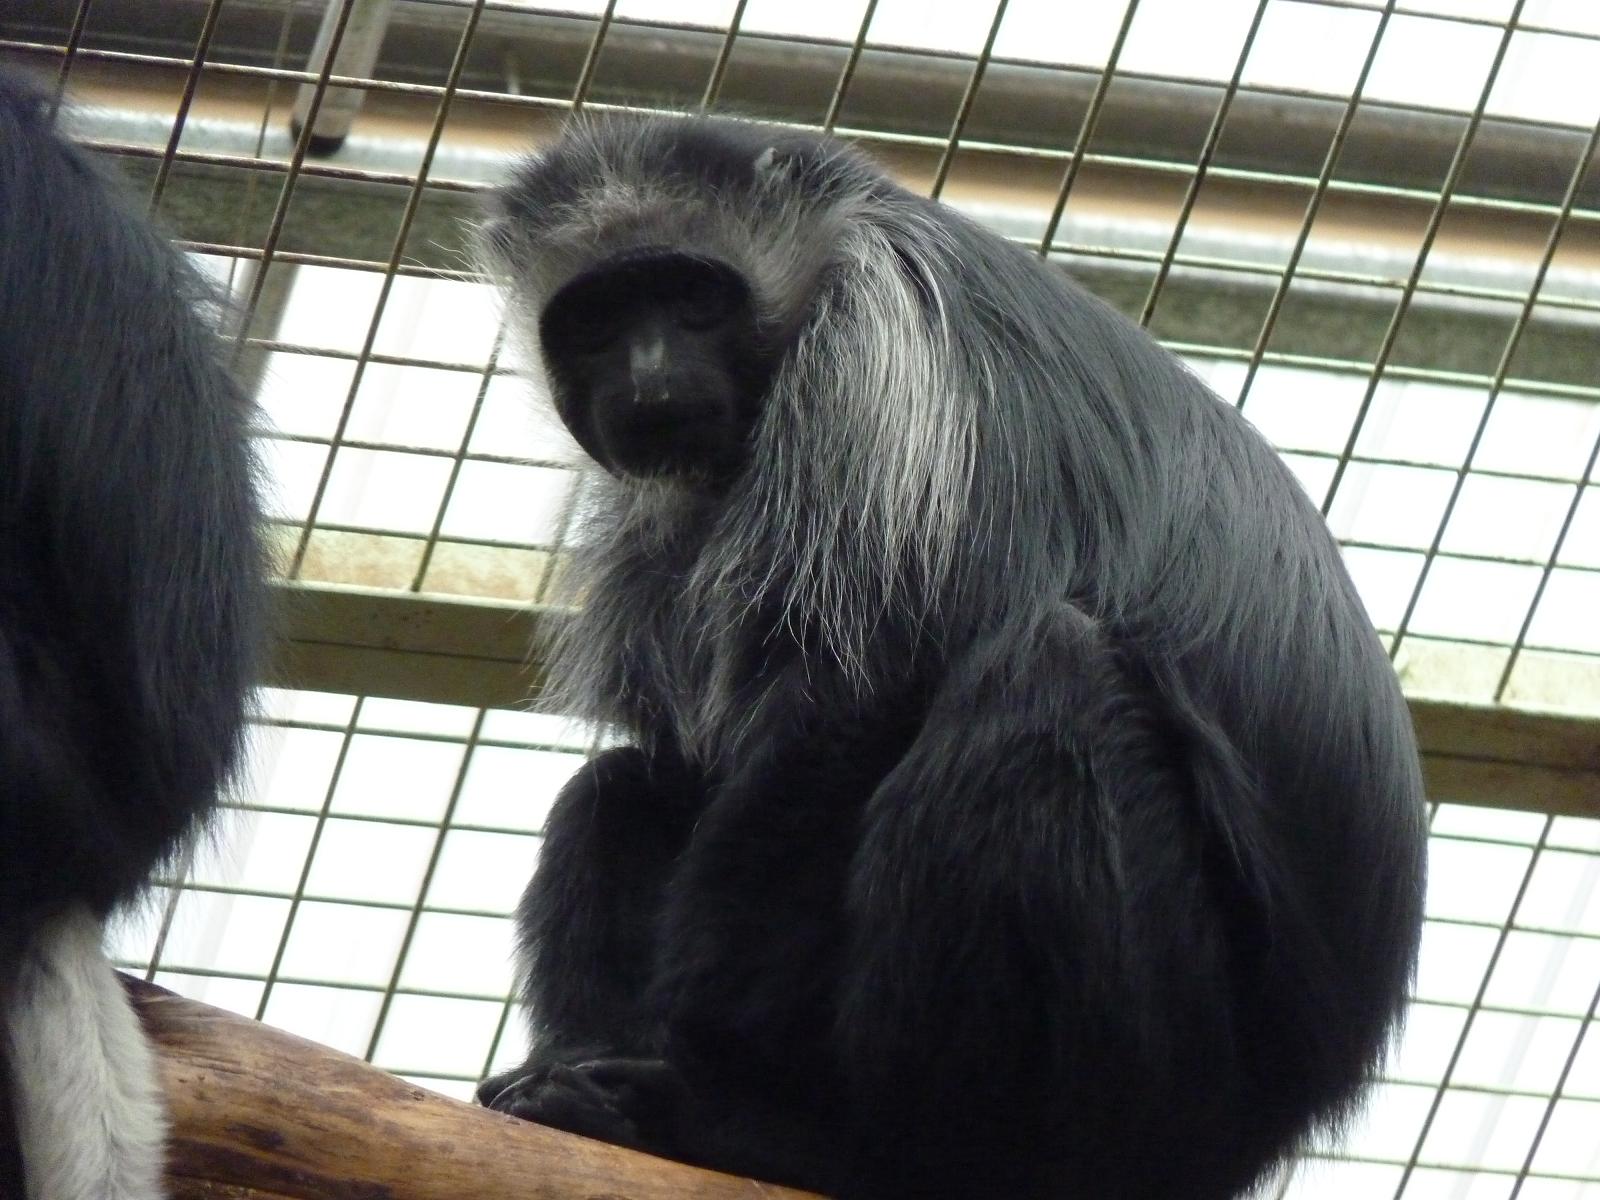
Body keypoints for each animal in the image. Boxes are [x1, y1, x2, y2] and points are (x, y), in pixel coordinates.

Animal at [475, 114, 1428, 1200]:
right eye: (596, 320)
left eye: (694, 299)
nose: (649, 382)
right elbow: (686, 760)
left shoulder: (878, 371)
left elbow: (849, 715)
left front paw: (700, 1076)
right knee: (624, 787)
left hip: (1177, 1066)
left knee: (1045, 679)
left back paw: (841, 1142)